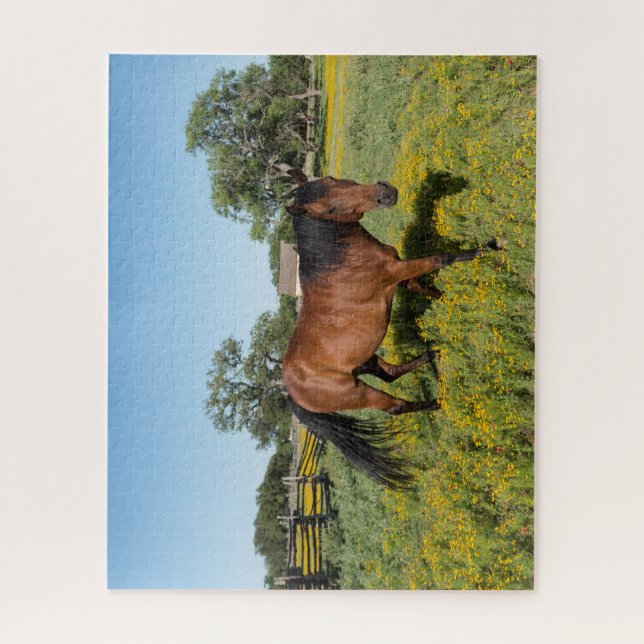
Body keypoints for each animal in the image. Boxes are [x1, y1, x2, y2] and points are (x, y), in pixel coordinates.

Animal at [282, 171, 501, 487]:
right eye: (329, 209)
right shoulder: (397, 273)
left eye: (331, 178)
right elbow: (441, 259)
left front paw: (450, 301)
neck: (344, 261)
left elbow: (428, 289)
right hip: (358, 392)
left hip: (364, 362)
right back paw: (437, 403)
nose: (384, 192)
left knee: (390, 374)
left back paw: (432, 355)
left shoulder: (401, 277)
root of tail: (291, 390)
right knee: (394, 405)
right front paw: (486, 249)